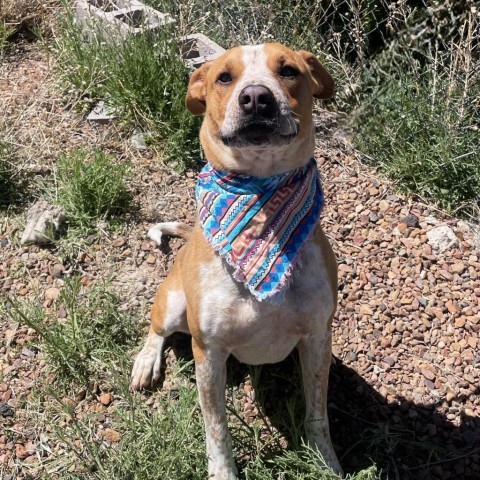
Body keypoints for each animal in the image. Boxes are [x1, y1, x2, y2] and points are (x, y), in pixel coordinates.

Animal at [129, 43, 344, 478]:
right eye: (224, 77)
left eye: (289, 71)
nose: (257, 97)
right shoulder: (209, 353)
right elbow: (217, 430)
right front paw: (223, 472)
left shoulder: (317, 338)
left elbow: (317, 414)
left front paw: (324, 462)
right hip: (173, 304)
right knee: (156, 330)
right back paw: (146, 362)